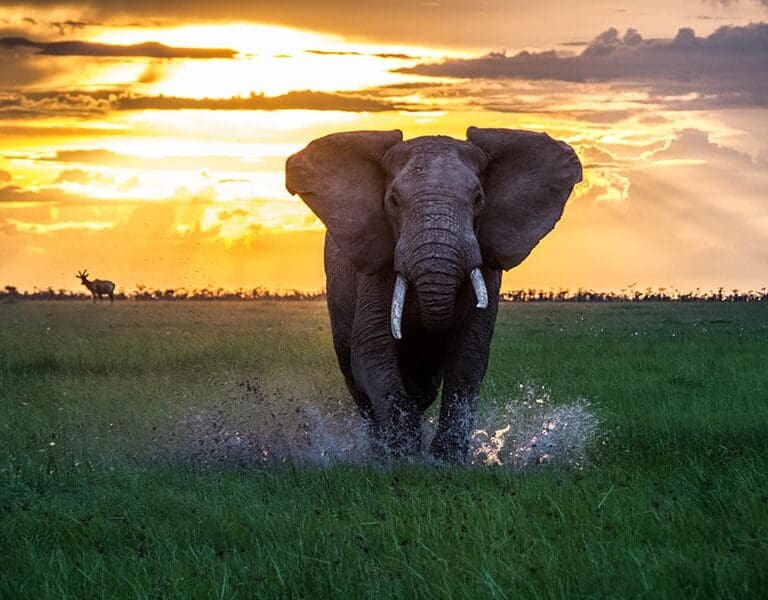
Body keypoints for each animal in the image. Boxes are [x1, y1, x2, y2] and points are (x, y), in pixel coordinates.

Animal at [285, 126, 581, 462]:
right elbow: (372, 351)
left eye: (478, 198)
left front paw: (444, 460)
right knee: (358, 383)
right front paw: (405, 457)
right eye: (393, 200)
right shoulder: (376, 267)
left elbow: (469, 356)